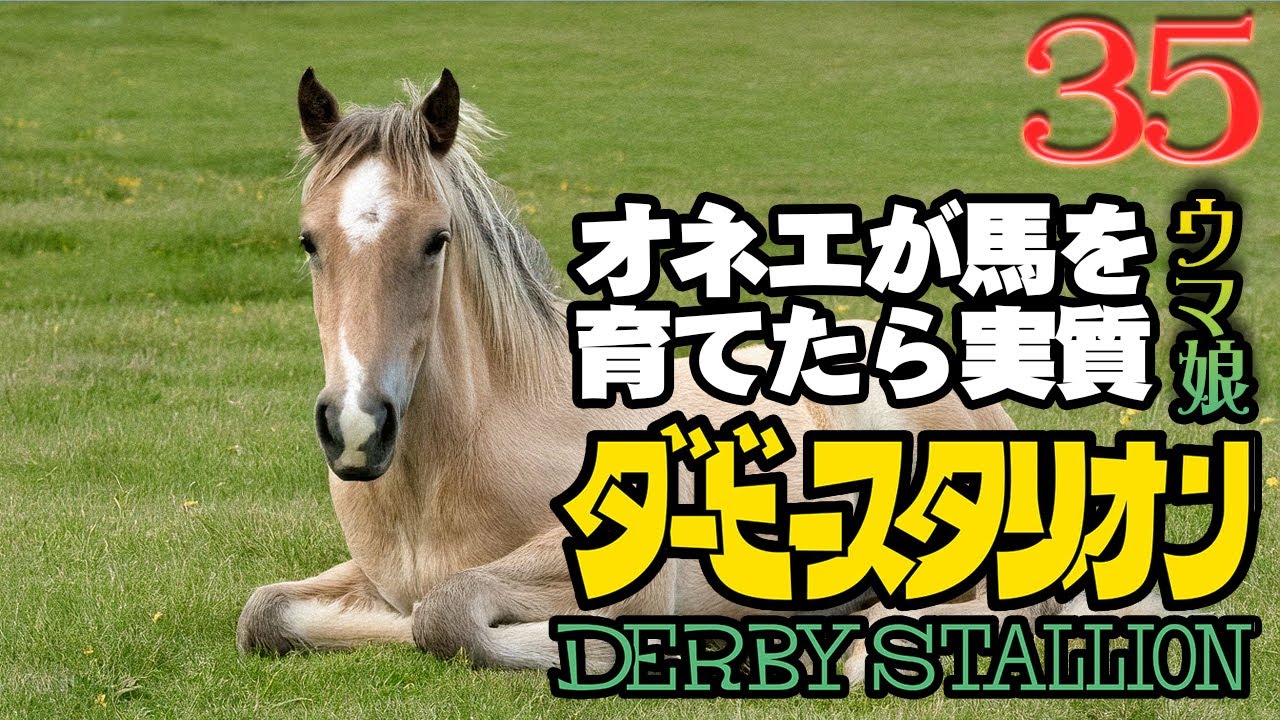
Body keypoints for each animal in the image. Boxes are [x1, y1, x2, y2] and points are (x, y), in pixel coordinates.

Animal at [235, 68, 1117, 685]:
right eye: (310, 241)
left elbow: (445, 616)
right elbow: (267, 613)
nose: (358, 427)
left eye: (435, 240)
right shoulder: (376, 576)